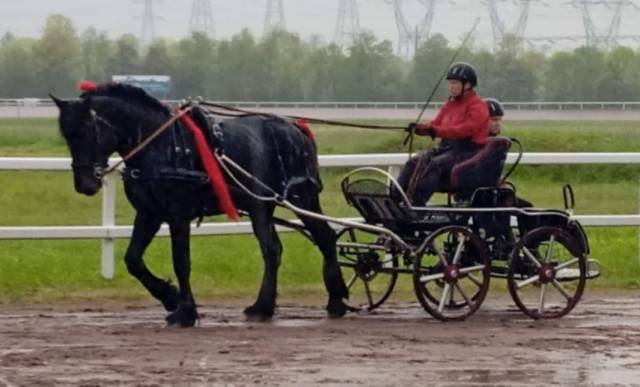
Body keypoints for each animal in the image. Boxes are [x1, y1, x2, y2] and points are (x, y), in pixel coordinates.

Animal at [52, 84, 348, 328]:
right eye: (66, 136)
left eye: (88, 131)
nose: (85, 184)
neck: (161, 144)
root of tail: (296, 128)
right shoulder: (148, 213)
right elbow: (133, 259)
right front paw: (170, 297)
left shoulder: (178, 213)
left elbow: (181, 260)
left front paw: (186, 311)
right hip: (264, 206)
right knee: (301, 242)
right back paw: (317, 300)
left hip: (294, 198)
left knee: (292, 244)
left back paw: (286, 305)